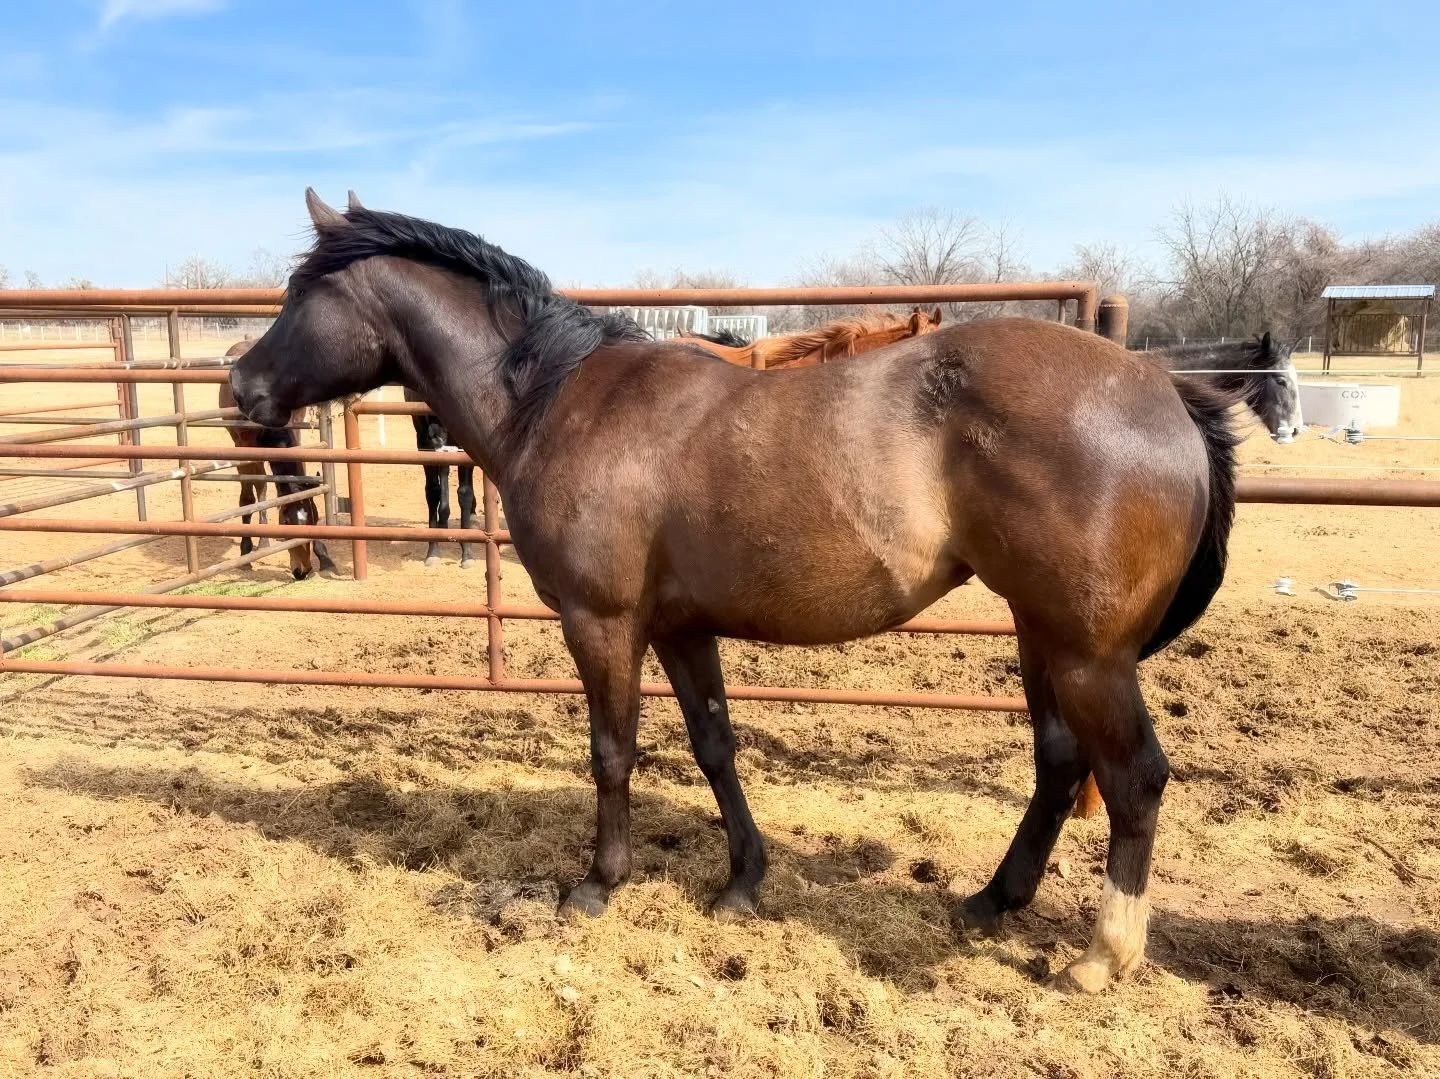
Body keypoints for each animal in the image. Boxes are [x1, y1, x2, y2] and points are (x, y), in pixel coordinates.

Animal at [219, 339, 336, 579]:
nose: (303, 570)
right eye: (287, 521)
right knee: (259, 488)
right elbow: (248, 498)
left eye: (314, 518)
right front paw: (246, 552)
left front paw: (325, 556)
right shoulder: (245, 448)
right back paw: (260, 542)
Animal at [404, 386, 478, 568]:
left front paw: (467, 553)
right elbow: (433, 491)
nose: (435, 435)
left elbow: (465, 493)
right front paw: (433, 551)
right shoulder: (424, 442)